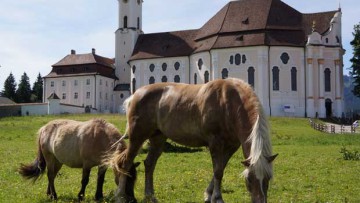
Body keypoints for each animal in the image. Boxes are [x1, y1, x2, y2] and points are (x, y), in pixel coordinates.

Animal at [110, 78, 278, 203]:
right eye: (249, 179)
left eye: (268, 178)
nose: (260, 201)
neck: (228, 102)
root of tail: (135, 95)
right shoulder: (215, 142)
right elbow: (218, 171)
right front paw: (217, 198)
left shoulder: (232, 146)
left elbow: (221, 168)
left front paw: (208, 194)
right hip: (137, 137)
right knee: (126, 163)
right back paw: (120, 196)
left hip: (158, 138)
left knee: (149, 164)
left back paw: (150, 196)